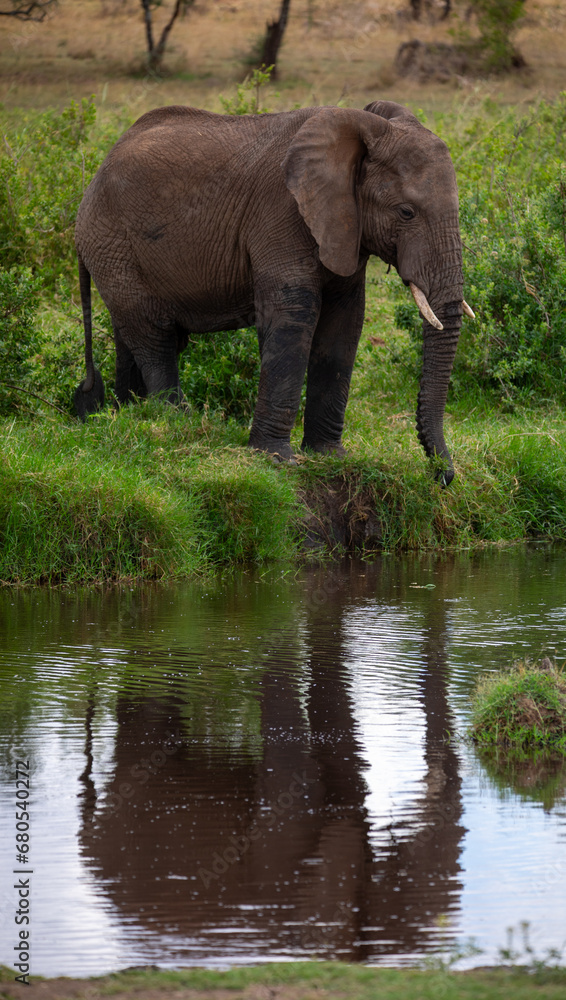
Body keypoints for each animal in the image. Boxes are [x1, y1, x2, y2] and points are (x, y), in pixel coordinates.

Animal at [74, 99, 473, 484]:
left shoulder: (346, 231)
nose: (443, 476)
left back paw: (130, 415)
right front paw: (277, 460)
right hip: (111, 244)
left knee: (138, 337)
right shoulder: (281, 214)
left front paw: (331, 458)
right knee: (155, 338)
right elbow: (293, 317)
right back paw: (176, 424)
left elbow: (344, 325)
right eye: (406, 212)